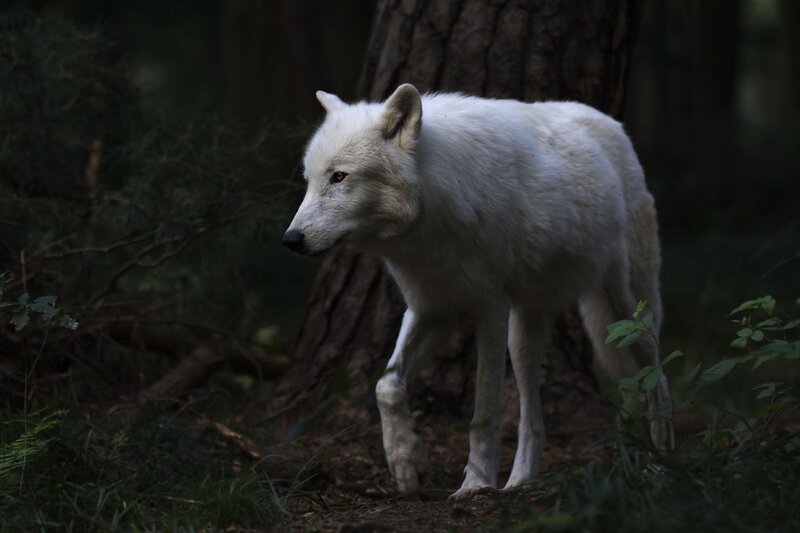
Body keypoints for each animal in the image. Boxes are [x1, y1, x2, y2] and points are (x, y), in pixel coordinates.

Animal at [283, 84, 674, 499]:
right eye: (309, 180)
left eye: (339, 177)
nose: (290, 239)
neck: (433, 215)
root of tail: (613, 125)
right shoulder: (431, 309)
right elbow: (385, 385)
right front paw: (406, 462)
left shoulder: (490, 309)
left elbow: (483, 412)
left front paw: (475, 485)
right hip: (523, 334)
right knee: (531, 419)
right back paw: (520, 483)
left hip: (625, 312)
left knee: (658, 374)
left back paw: (662, 465)